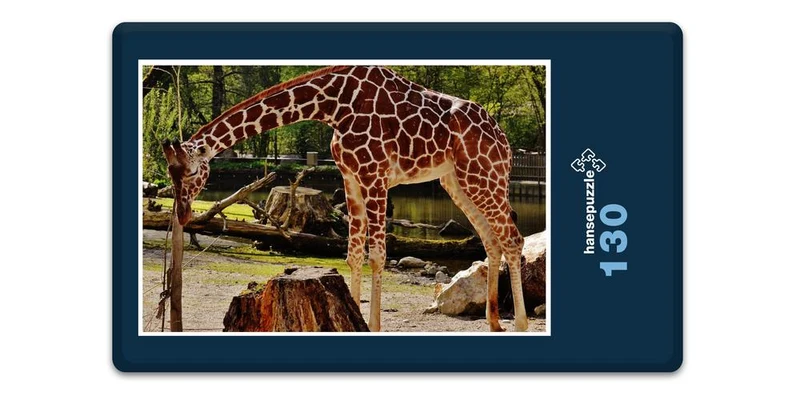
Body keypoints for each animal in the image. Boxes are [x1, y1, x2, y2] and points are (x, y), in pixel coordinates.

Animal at [161, 66, 529, 332]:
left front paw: (374, 325)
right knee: (491, 239)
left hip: (485, 175)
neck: (333, 106)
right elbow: (353, 254)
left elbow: (377, 255)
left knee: (512, 238)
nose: (182, 214)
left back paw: (521, 323)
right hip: (456, 180)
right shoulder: (350, 178)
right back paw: (494, 322)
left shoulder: (375, 175)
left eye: (192, 172)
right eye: (170, 173)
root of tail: (506, 141)